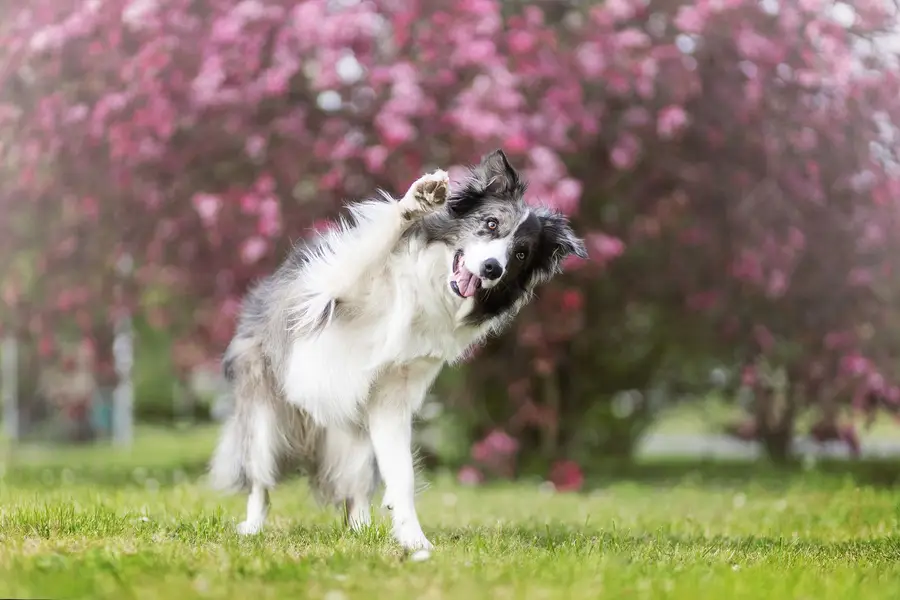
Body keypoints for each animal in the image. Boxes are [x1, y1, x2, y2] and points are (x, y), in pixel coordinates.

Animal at [211, 149, 592, 548]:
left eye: (520, 255)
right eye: (490, 224)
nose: (492, 269)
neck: (431, 285)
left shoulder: (393, 393)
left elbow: (402, 474)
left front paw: (414, 540)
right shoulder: (322, 291)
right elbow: (373, 246)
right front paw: (418, 201)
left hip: (356, 446)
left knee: (355, 492)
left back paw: (361, 531)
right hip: (264, 419)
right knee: (260, 481)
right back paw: (252, 527)